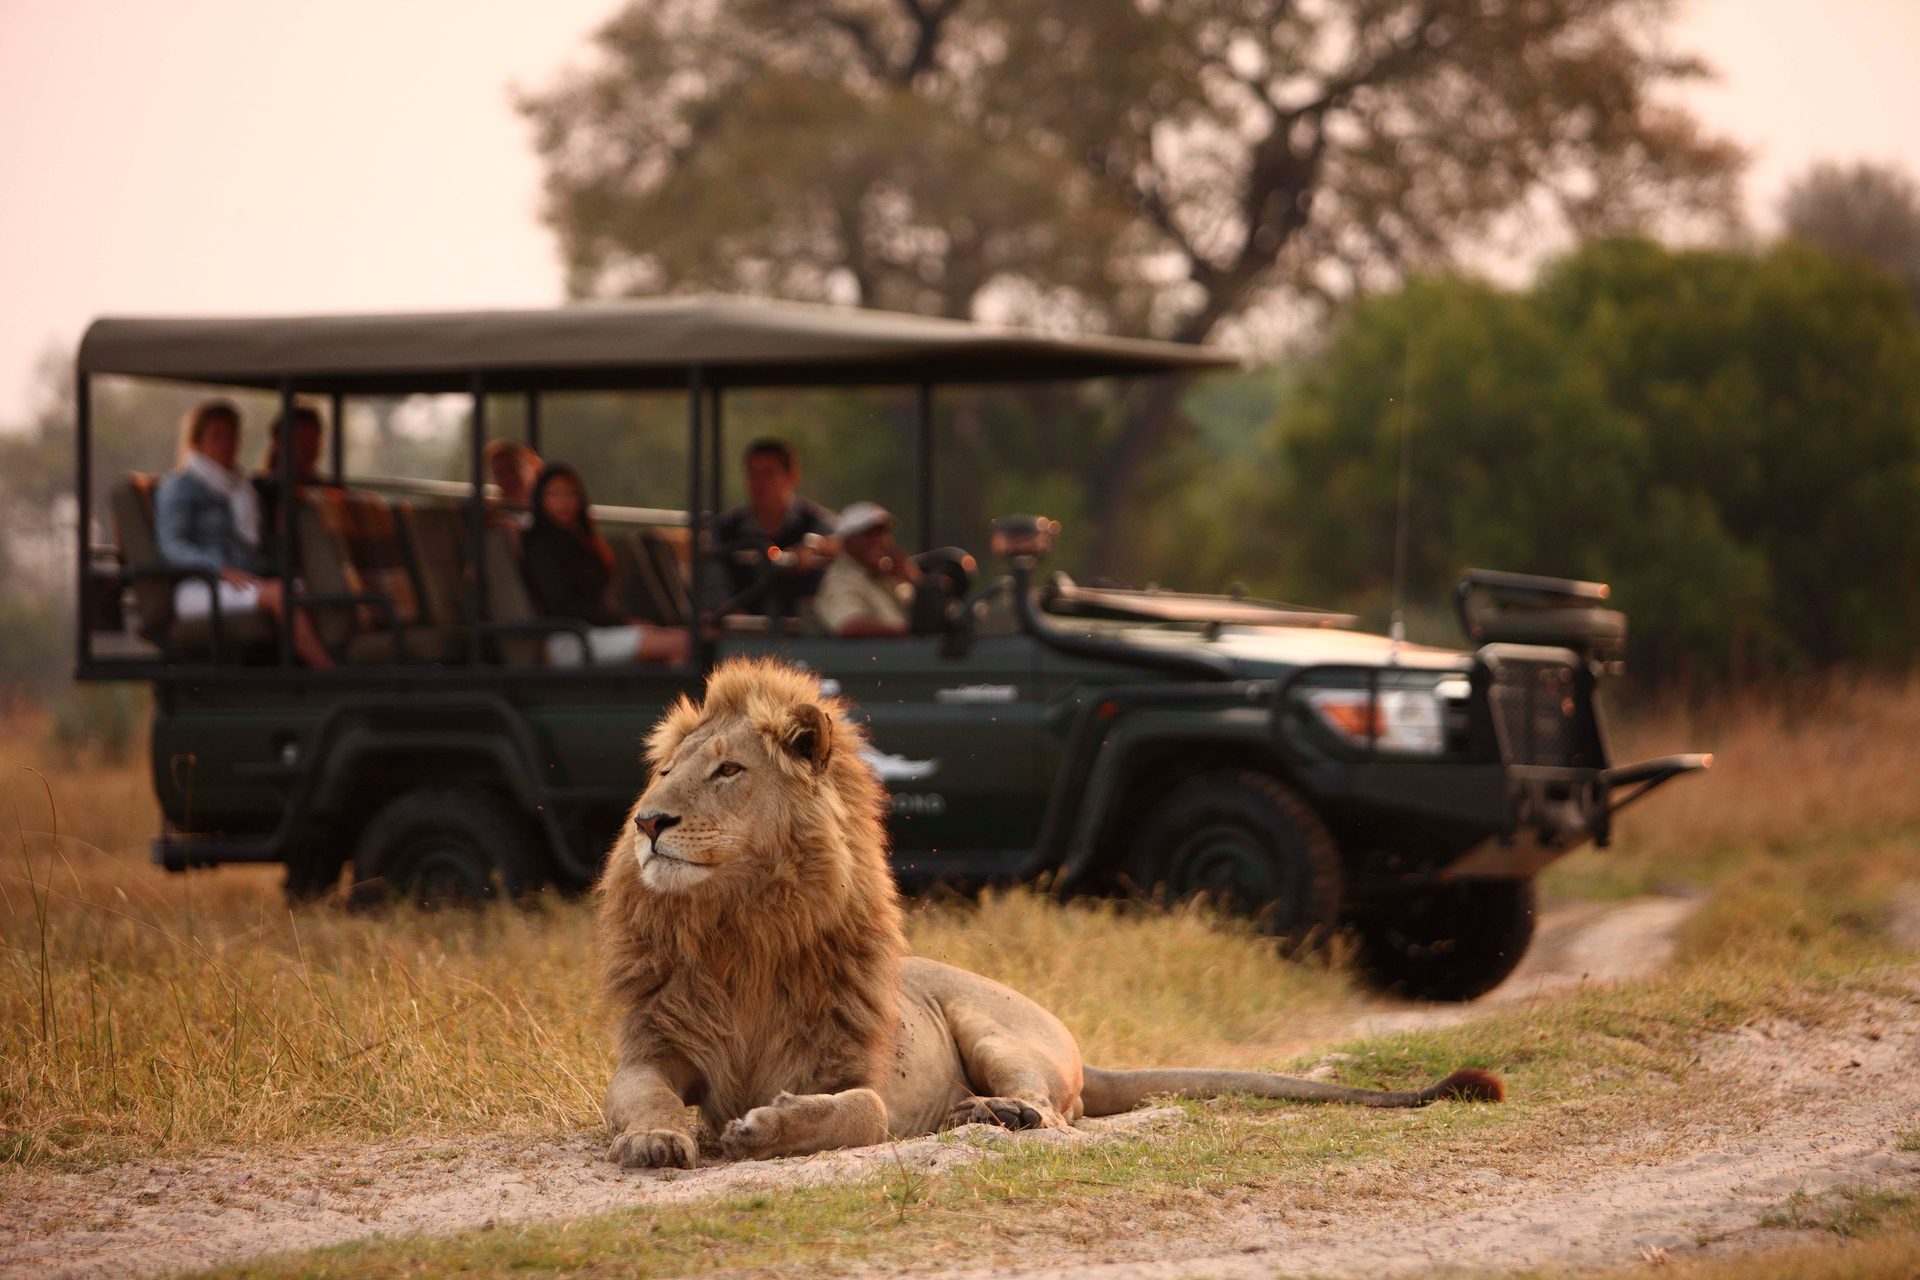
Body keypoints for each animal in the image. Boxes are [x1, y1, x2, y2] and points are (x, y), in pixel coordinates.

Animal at [596, 657, 1503, 1168]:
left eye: (728, 772)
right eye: (666, 771)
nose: (647, 822)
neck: (739, 930)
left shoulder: (848, 1070)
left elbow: (862, 1111)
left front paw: (764, 1128)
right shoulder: (653, 1049)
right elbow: (640, 1097)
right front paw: (654, 1139)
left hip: (994, 1027)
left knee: (1054, 1111)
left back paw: (989, 1113)